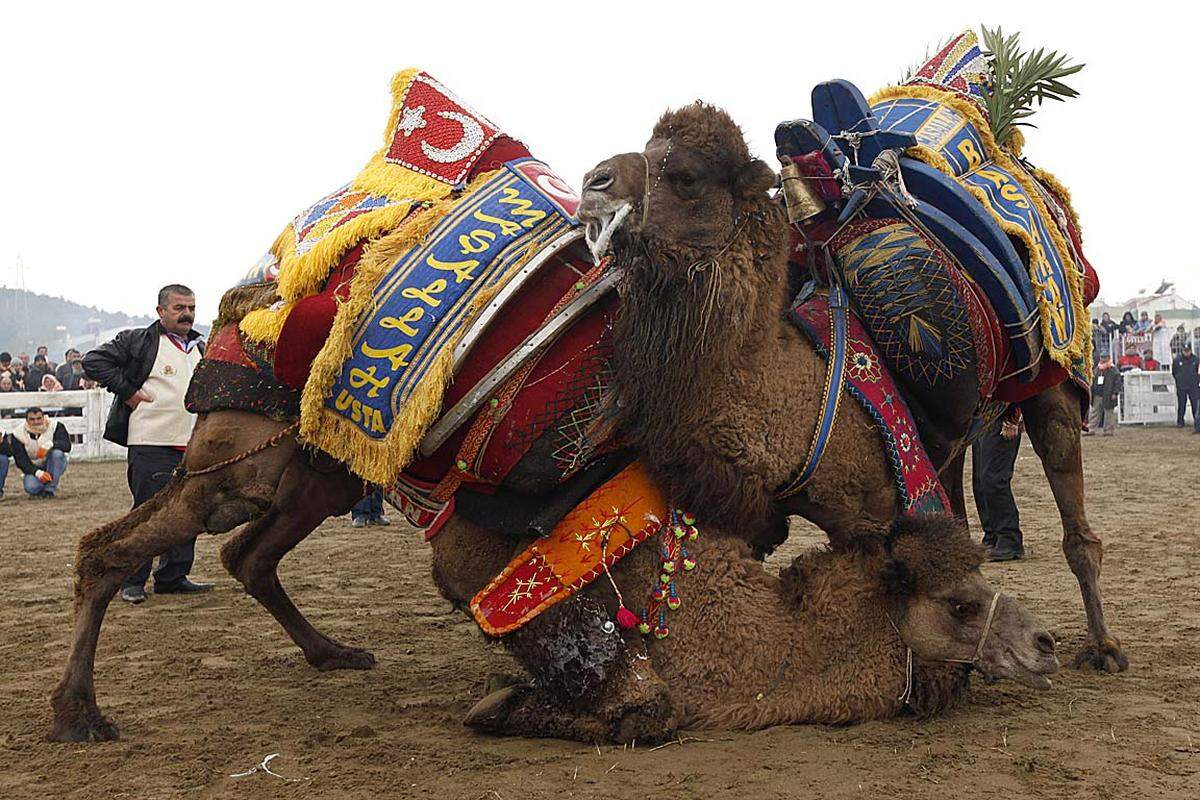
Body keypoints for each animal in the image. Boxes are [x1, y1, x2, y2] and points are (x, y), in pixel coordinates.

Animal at [578, 101, 1123, 676]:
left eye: (686, 176)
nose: (594, 182)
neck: (802, 393)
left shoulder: (881, 505)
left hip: (1055, 379)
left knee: (1075, 520)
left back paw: (1105, 647)